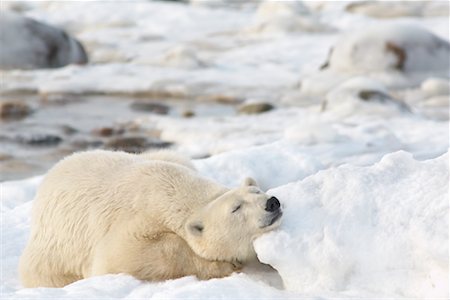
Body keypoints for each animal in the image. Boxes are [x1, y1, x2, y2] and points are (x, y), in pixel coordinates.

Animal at [21, 150, 284, 288]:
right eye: (236, 208)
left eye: (257, 191)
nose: (272, 202)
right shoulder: (136, 220)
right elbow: (121, 256)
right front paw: (222, 266)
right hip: (54, 251)